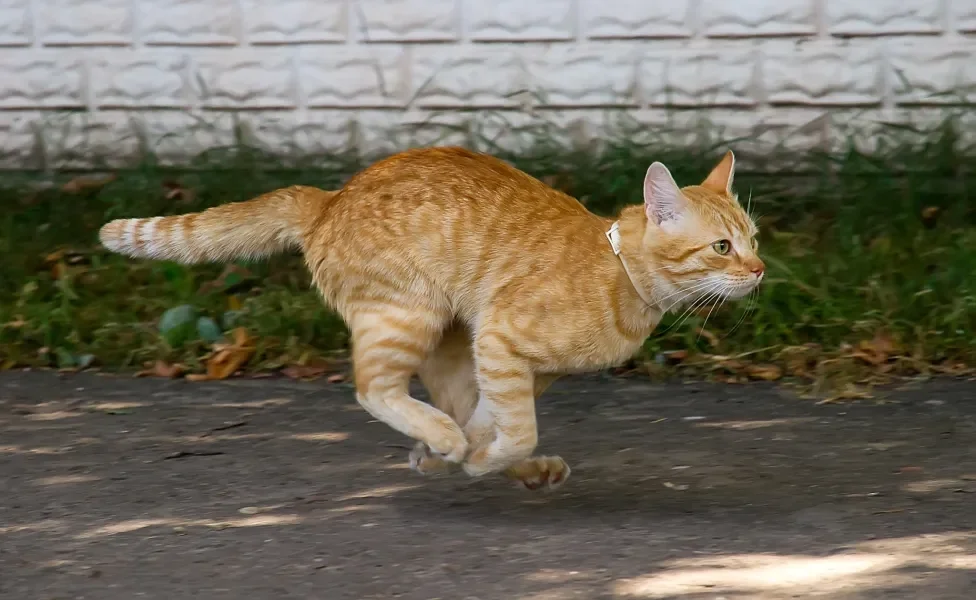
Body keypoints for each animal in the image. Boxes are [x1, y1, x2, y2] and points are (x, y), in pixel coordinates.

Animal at [99, 146, 764, 492]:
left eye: (753, 240)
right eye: (722, 248)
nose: (760, 270)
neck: (620, 274)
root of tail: (330, 197)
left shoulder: (513, 367)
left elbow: (493, 419)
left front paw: (463, 457)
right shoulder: (500, 340)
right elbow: (513, 429)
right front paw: (472, 458)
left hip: (449, 340)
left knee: (448, 403)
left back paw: (471, 457)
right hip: (406, 316)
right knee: (374, 387)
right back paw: (446, 443)